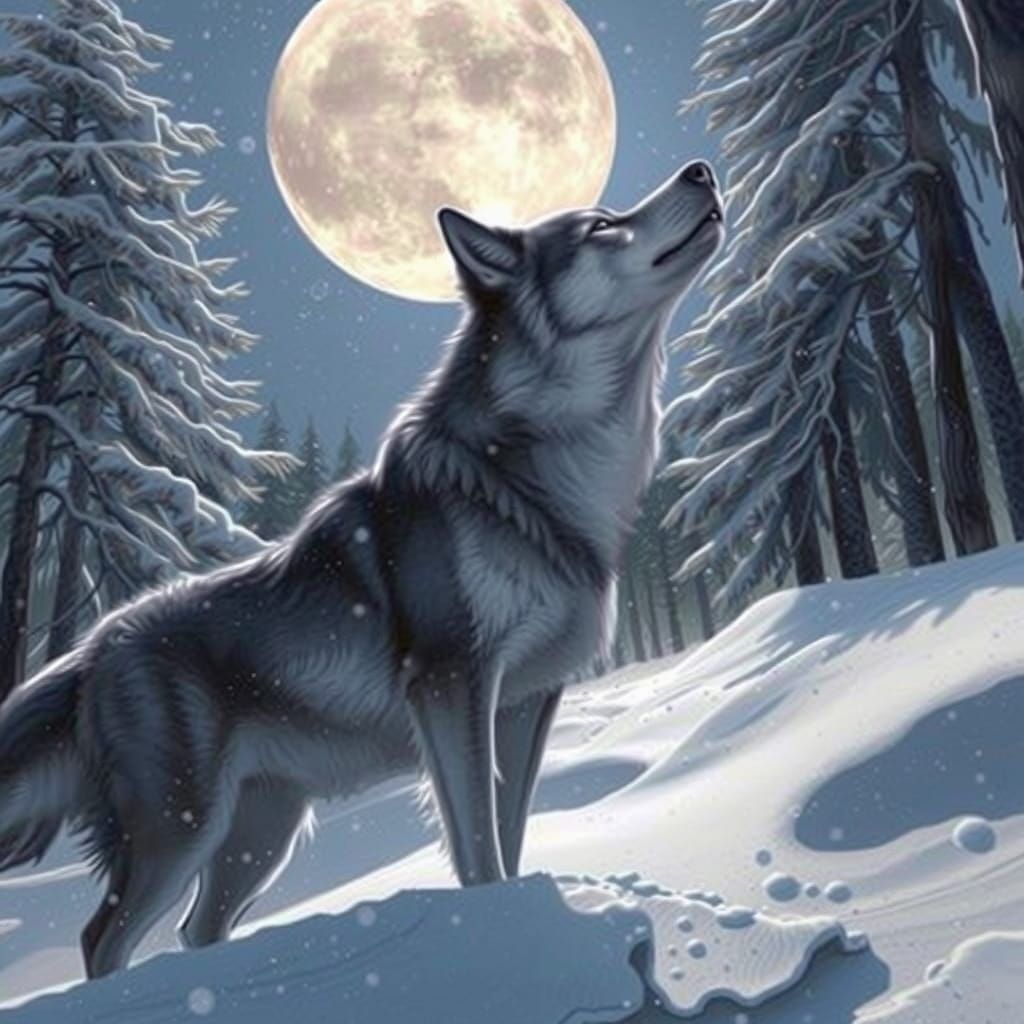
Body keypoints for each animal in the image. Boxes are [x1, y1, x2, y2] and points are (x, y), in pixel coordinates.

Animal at [0, 161, 723, 979]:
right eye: (600, 226)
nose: (700, 169)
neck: (533, 482)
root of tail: (92, 648)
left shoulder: (525, 702)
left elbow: (510, 835)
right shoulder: (451, 681)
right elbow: (477, 844)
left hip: (260, 837)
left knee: (194, 929)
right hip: (182, 826)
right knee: (103, 938)